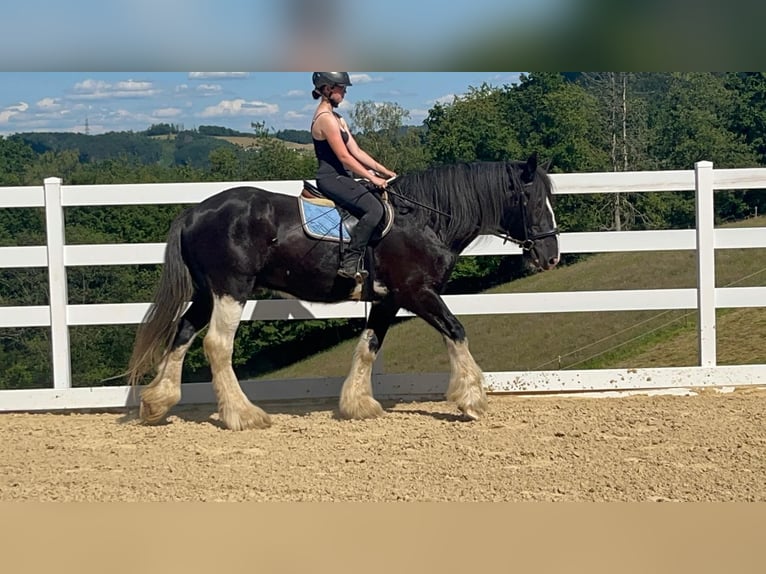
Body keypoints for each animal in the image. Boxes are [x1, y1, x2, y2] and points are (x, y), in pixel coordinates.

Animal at [127, 154, 560, 430]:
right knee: (217, 345)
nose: (551, 256)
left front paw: (358, 404)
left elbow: (369, 345)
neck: (425, 220)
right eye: (533, 201)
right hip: (231, 289)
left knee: (182, 334)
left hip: (206, 293)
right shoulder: (417, 293)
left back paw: (157, 403)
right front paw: (470, 399)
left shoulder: (389, 298)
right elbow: (456, 331)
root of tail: (194, 212)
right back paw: (244, 415)